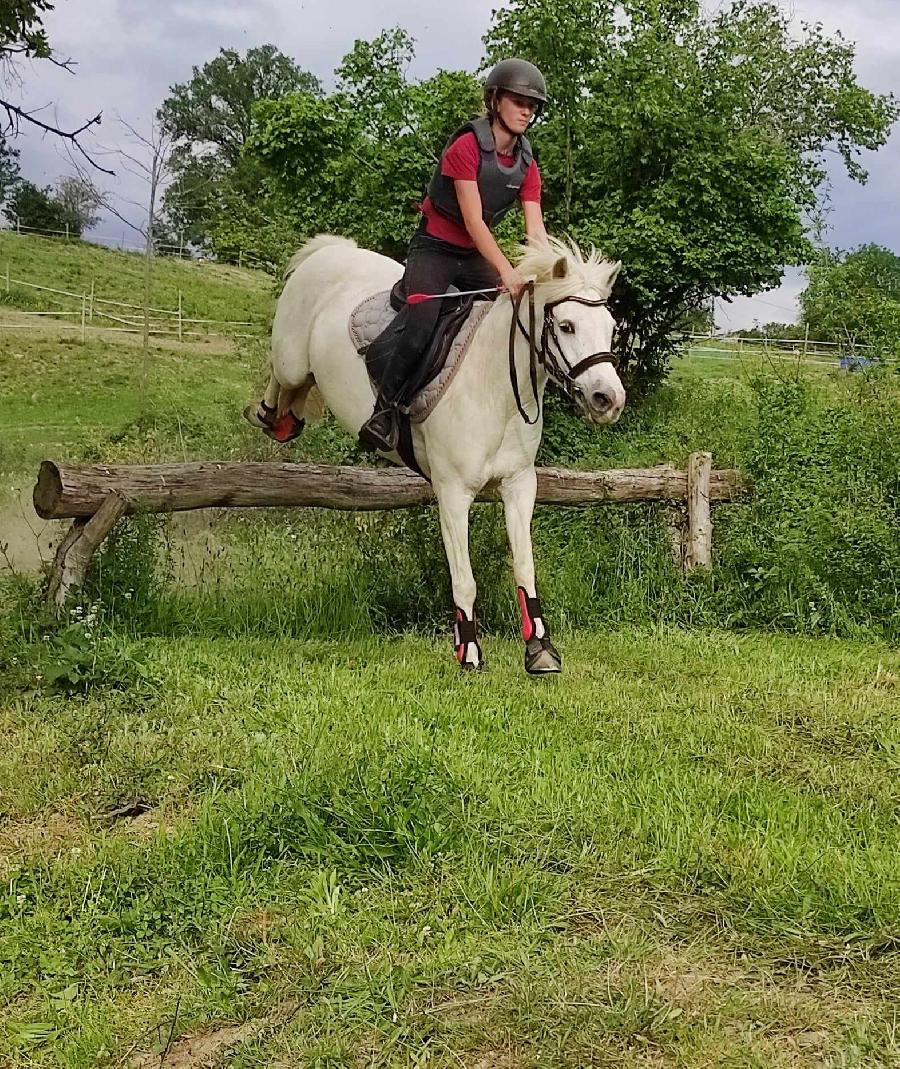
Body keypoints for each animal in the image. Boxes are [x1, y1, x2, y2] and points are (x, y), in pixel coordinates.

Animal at [259, 235, 624, 671]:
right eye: (567, 326)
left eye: (611, 328)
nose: (609, 399)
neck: (495, 386)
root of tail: (331, 250)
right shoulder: (453, 494)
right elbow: (464, 580)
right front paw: (469, 652)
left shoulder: (519, 486)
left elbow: (524, 568)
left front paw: (539, 649)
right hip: (292, 360)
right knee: (281, 379)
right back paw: (272, 416)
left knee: (295, 394)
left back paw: (287, 417)